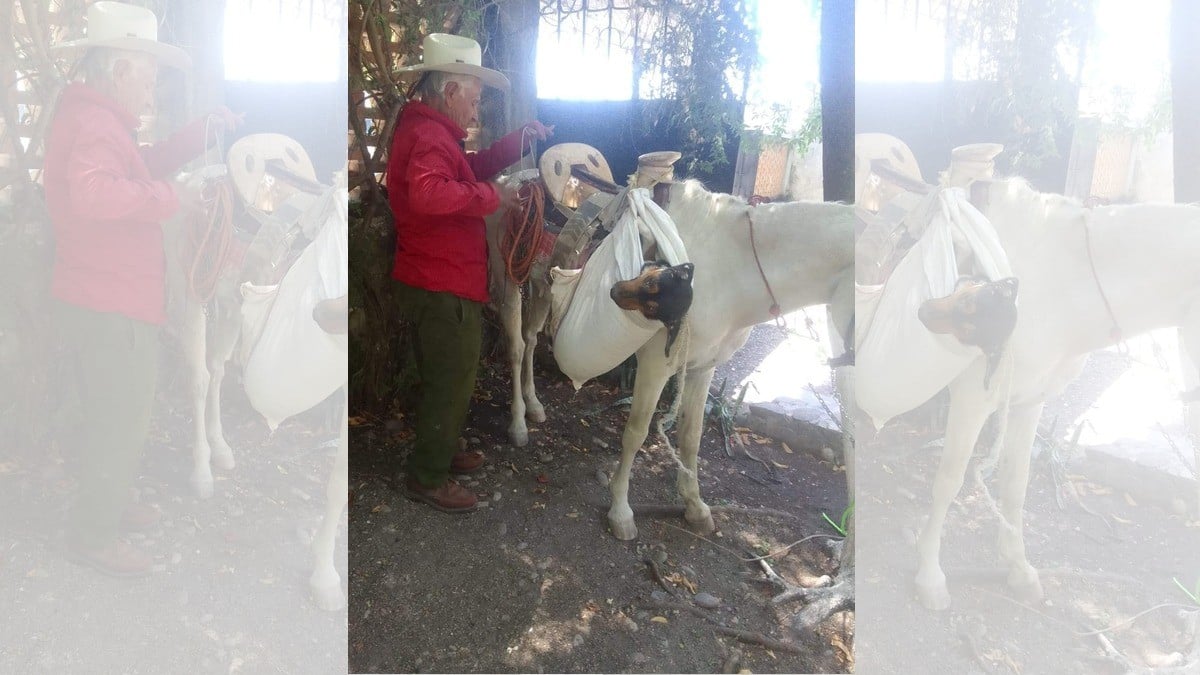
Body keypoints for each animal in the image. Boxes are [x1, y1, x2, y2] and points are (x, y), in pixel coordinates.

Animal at [908, 177, 1200, 610]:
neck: (1058, 291)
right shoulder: (973, 399)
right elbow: (949, 481)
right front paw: (930, 577)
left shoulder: (1029, 403)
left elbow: (1016, 484)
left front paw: (1019, 569)